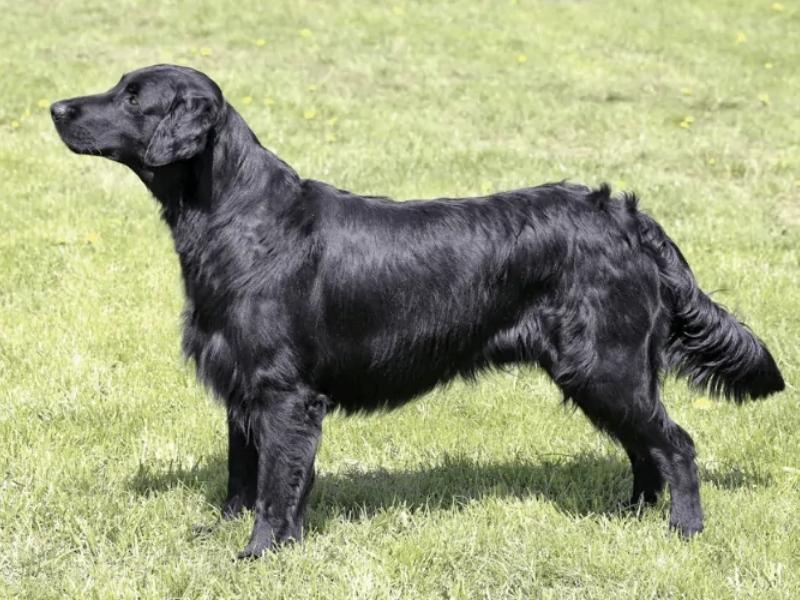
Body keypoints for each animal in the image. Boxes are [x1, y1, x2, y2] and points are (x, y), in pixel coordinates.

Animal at [53, 65, 784, 556]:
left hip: (607, 364)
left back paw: (683, 530)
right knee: (644, 448)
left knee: (676, 445)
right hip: (602, 373)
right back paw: (629, 516)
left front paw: (260, 553)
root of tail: (626, 215)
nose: (57, 106)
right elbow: (243, 475)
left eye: (132, 96)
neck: (236, 214)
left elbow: (274, 483)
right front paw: (225, 531)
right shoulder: (242, 387)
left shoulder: (284, 394)